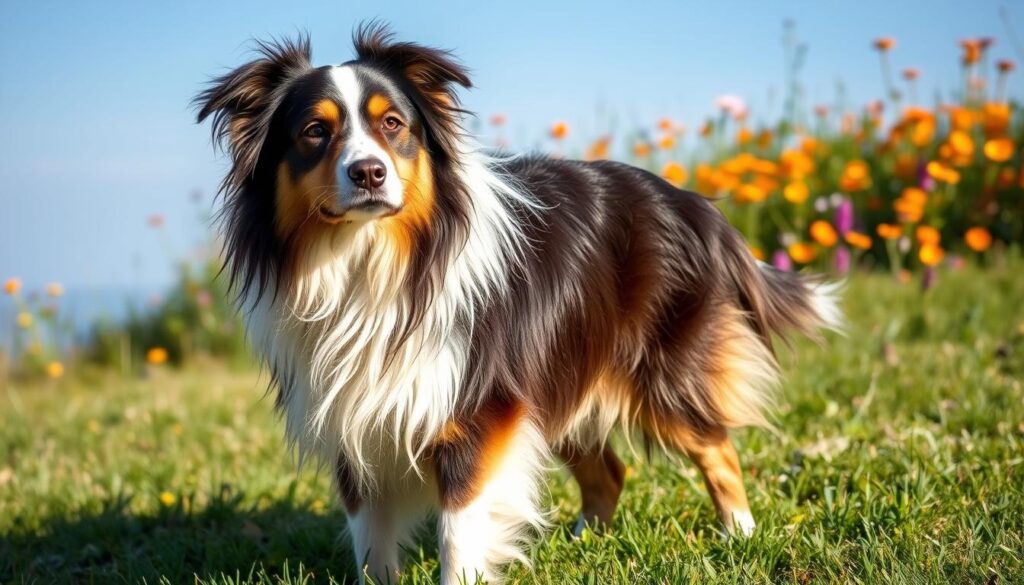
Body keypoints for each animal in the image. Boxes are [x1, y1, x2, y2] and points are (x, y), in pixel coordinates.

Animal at [193, 24, 839, 585]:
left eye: (393, 124)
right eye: (313, 132)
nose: (369, 172)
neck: (372, 262)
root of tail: (694, 203)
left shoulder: (475, 408)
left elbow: (458, 528)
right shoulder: (353, 419)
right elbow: (369, 540)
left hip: (661, 369)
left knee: (716, 447)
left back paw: (740, 536)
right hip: (562, 370)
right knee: (609, 473)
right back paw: (582, 544)